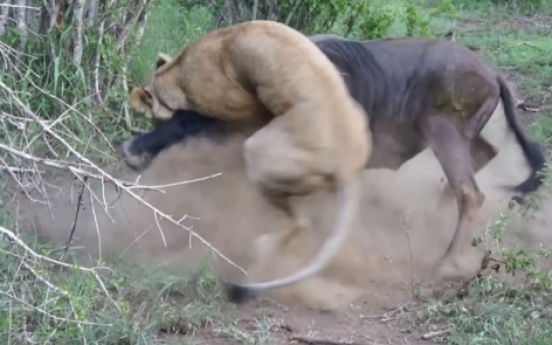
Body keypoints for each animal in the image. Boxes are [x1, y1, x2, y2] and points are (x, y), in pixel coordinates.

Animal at [120, 20, 370, 302]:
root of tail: (347, 164)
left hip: (259, 153)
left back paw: (262, 247)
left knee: (299, 221)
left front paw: (134, 151)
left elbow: (180, 125)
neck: (178, 70)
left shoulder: (241, 111)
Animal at [122, 31, 548, 282]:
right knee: (483, 157)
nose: (129, 152)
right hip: (455, 137)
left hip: (442, 132)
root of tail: (491, 72)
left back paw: (445, 263)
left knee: (470, 192)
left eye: (184, 114)